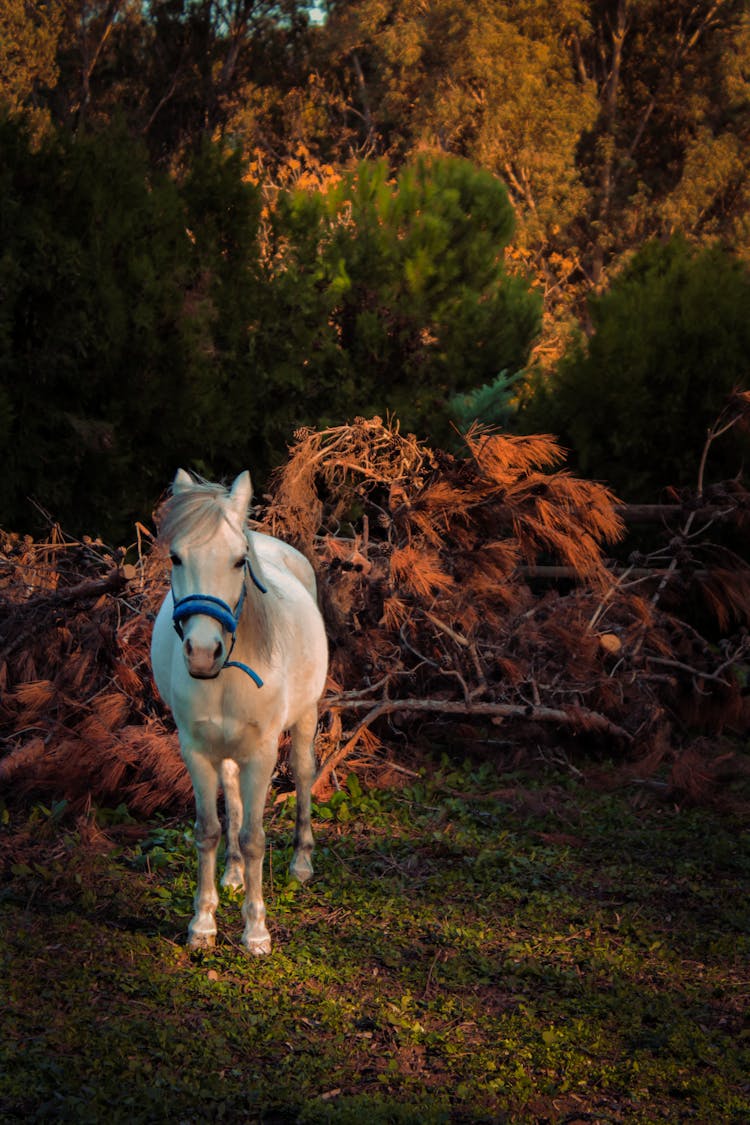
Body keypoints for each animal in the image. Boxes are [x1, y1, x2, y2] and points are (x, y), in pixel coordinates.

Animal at [150, 470, 328, 954]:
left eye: (238, 562)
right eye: (176, 557)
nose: (202, 652)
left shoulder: (263, 753)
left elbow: (254, 838)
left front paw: (256, 932)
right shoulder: (195, 750)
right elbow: (210, 830)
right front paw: (203, 924)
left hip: (306, 717)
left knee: (303, 772)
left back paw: (301, 863)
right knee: (231, 794)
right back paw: (231, 875)